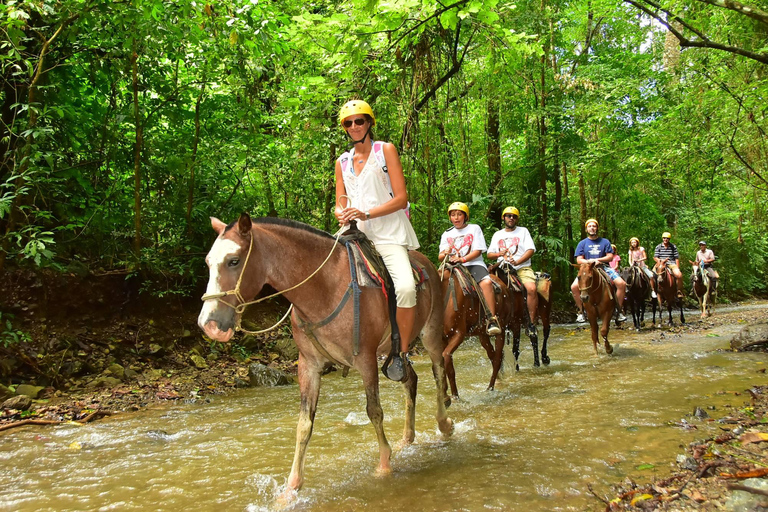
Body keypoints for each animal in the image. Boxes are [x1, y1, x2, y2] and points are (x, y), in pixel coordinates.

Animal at [198, 214, 453, 496]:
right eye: (208, 262)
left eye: (233, 261)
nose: (208, 325)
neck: (324, 289)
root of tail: (425, 261)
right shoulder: (308, 365)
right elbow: (303, 424)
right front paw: (291, 486)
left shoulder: (365, 360)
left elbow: (374, 411)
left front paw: (384, 466)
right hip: (394, 352)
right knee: (410, 380)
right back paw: (407, 439)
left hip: (430, 332)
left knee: (438, 371)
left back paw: (444, 424)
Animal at [440, 265, 511, 398]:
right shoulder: (442, 338)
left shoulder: (459, 334)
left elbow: (447, 361)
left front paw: (455, 396)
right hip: (483, 334)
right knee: (492, 355)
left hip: (501, 330)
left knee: (497, 357)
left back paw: (490, 388)